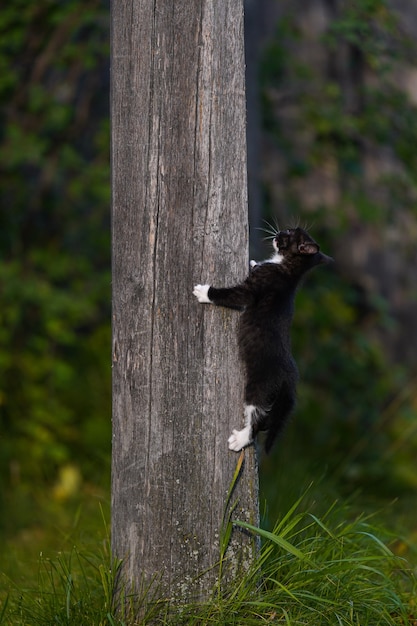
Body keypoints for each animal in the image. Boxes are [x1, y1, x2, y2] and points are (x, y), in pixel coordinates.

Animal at [193, 227, 332, 450]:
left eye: (289, 233)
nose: (279, 232)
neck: (287, 270)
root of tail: (290, 381)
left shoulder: (253, 288)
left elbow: (233, 295)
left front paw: (204, 292)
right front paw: (253, 262)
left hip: (259, 387)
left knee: (257, 418)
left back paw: (240, 439)